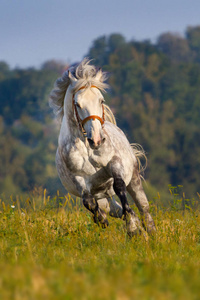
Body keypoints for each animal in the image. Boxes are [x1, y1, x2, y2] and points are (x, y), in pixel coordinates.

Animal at [49, 58, 155, 237]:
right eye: (77, 104)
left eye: (101, 100)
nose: (97, 140)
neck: (87, 150)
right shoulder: (78, 179)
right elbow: (89, 202)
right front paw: (103, 220)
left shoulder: (114, 163)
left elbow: (119, 186)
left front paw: (132, 227)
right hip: (104, 198)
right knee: (116, 210)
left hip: (133, 179)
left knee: (143, 208)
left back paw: (150, 232)